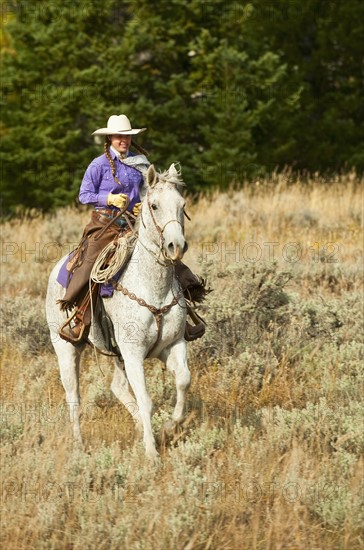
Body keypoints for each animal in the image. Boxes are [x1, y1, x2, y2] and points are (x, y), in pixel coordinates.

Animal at [45, 164, 191, 462]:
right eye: (154, 205)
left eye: (182, 205)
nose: (176, 246)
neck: (152, 286)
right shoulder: (133, 352)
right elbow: (146, 400)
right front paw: (152, 453)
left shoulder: (172, 344)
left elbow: (183, 381)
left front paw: (169, 429)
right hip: (66, 347)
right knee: (73, 395)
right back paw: (79, 446)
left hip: (116, 355)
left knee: (118, 388)